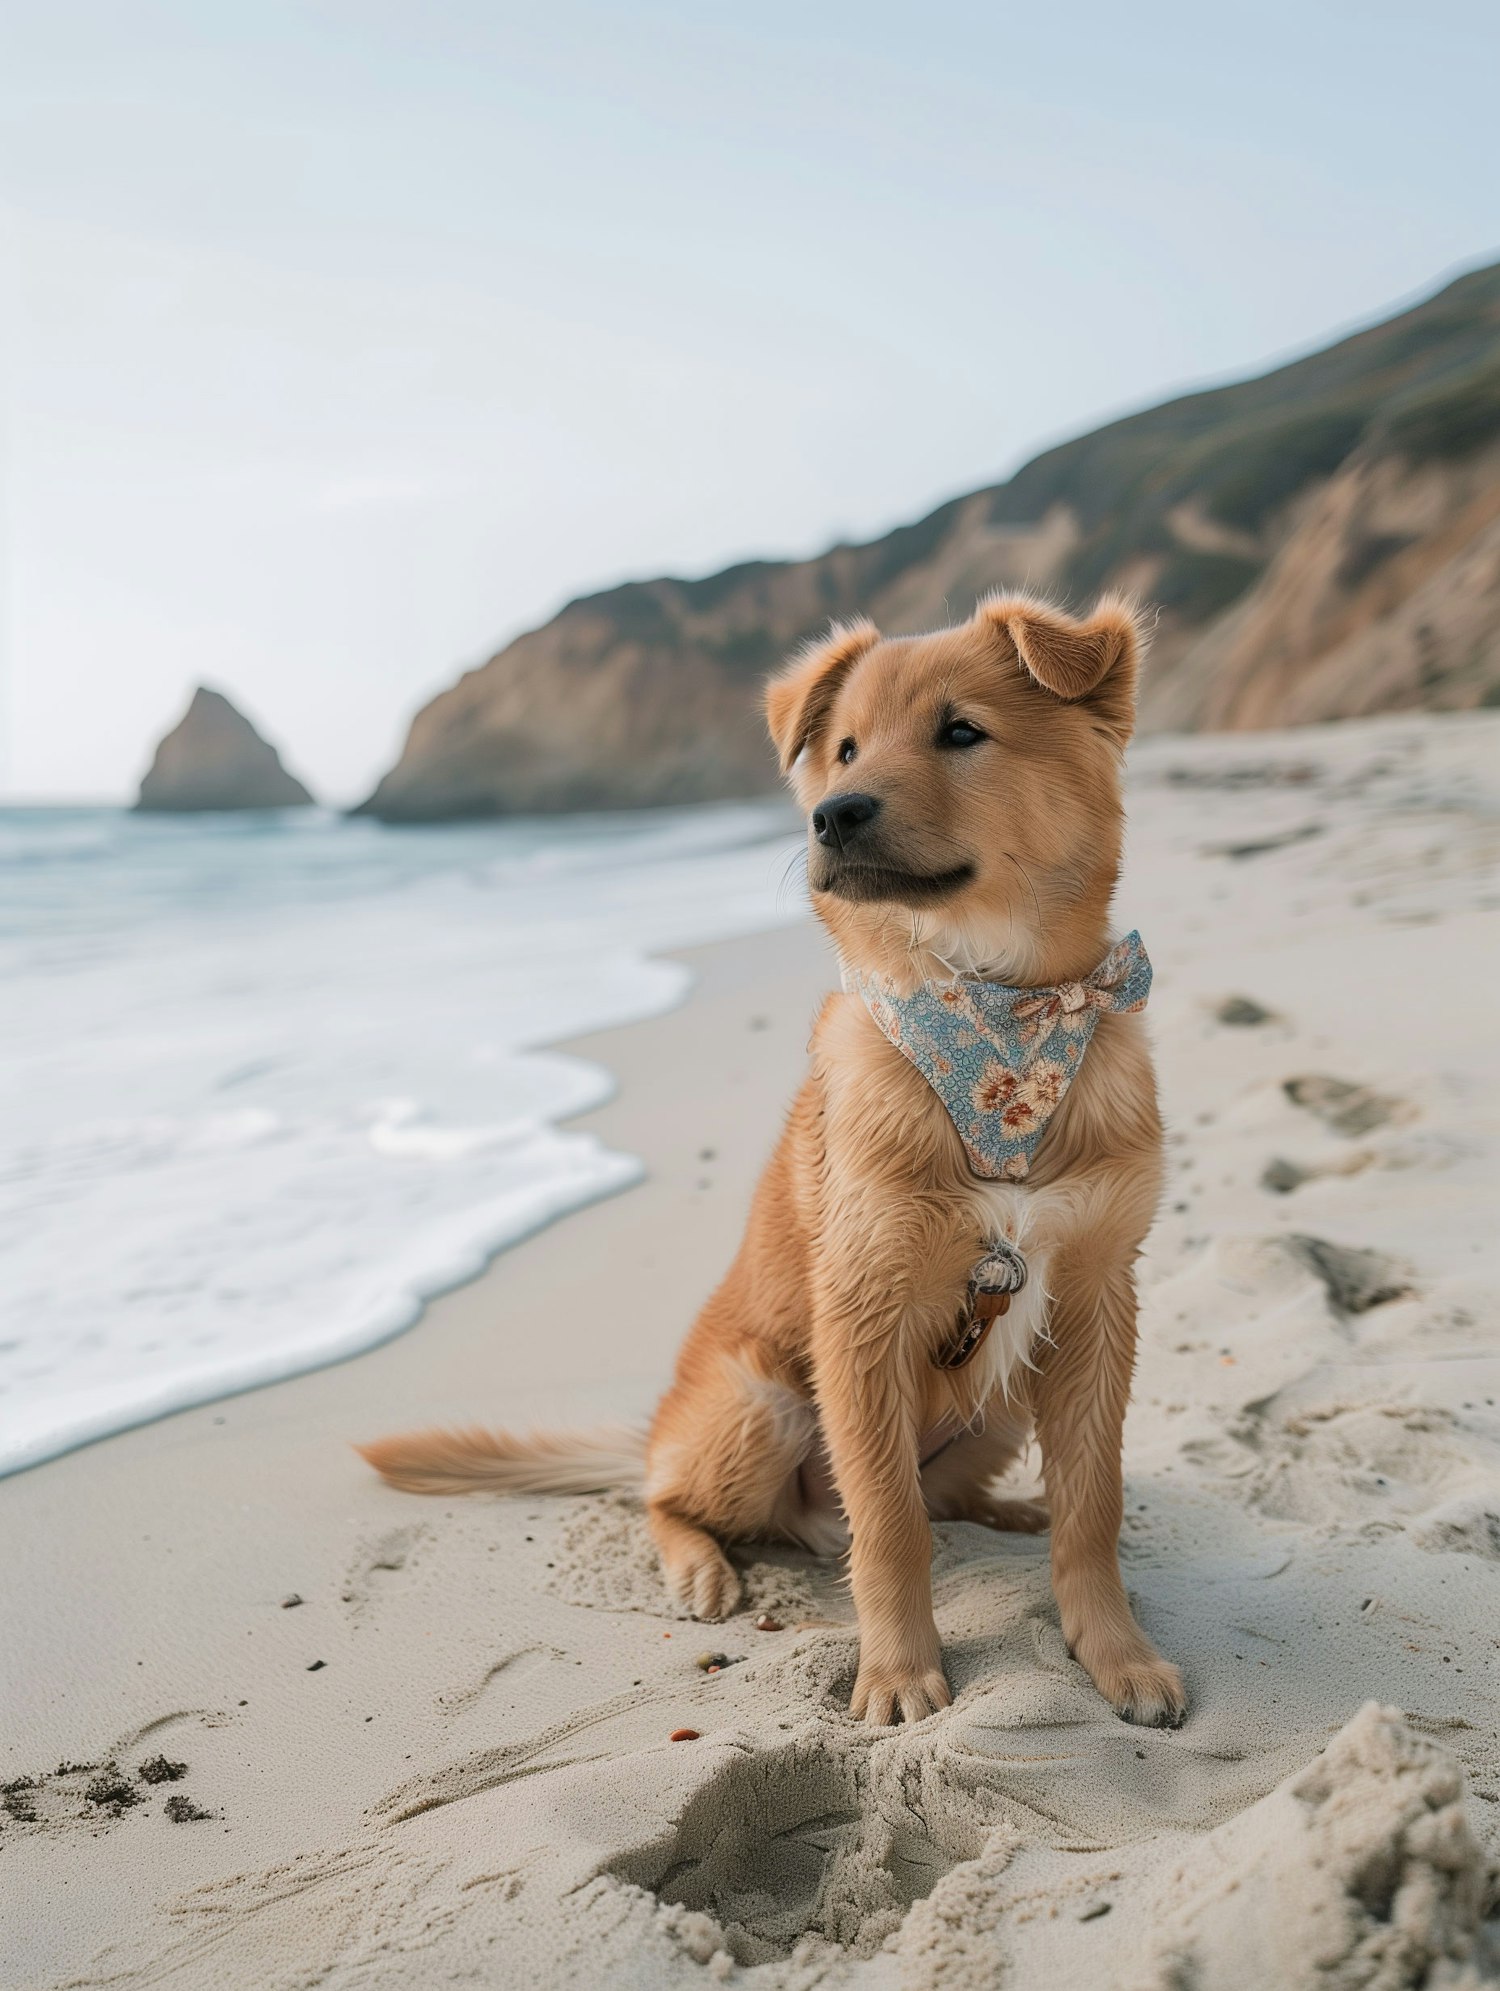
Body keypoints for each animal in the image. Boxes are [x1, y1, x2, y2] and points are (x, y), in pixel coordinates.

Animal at [360, 589, 1179, 1728]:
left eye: (961, 731)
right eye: (844, 749)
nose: (832, 814)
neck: (1002, 1020)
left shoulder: (1099, 1296)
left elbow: (1091, 1503)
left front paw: (1117, 1653)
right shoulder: (864, 1313)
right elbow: (889, 1523)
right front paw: (899, 1673)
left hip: (1001, 1398)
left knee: (944, 1494)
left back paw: (1009, 1512)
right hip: (760, 1405)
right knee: (678, 1498)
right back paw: (703, 1565)